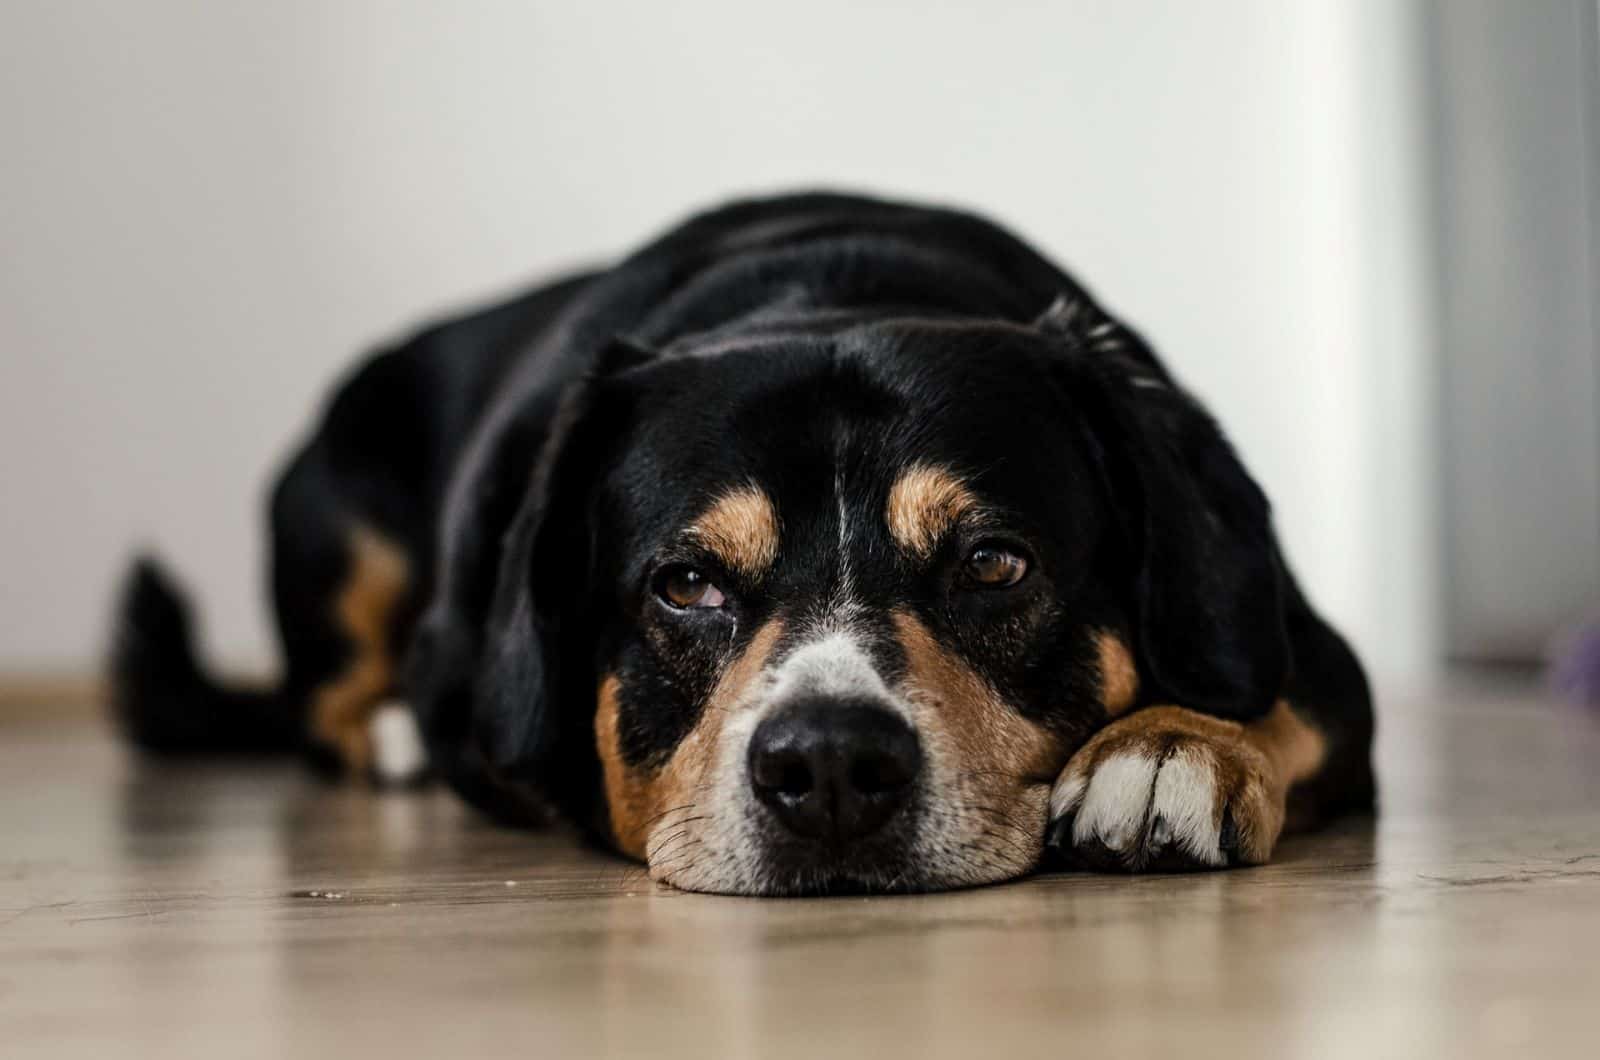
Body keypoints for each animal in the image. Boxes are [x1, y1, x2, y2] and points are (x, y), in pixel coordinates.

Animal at [109, 192, 1376, 896]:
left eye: (992, 564)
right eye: (684, 584)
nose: (829, 766)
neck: (828, 293)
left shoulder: (1307, 643)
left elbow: (1282, 696)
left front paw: (1167, 747)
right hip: (336, 518)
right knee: (323, 697)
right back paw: (390, 734)